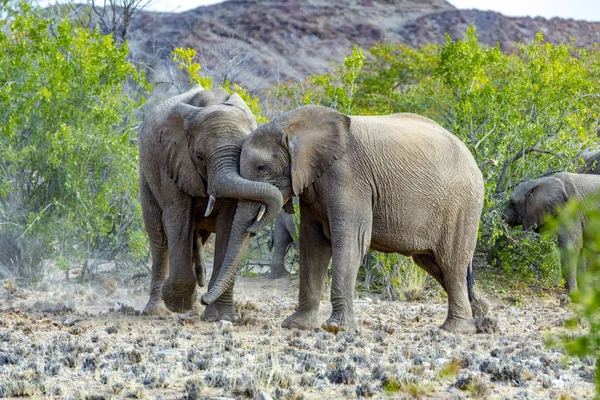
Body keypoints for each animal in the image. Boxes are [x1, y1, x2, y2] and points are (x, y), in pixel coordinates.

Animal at [139, 86, 282, 320]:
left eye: (242, 153)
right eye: (199, 157)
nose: (205, 299)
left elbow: (229, 225)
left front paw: (222, 317)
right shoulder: (171, 162)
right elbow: (177, 219)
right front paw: (177, 302)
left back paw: (196, 309)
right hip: (146, 172)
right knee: (158, 235)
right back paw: (158, 311)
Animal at [199, 104, 490, 332]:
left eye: (261, 168)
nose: (202, 300)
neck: (294, 125)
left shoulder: (348, 176)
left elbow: (350, 240)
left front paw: (335, 328)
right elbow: (313, 244)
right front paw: (296, 325)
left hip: (462, 206)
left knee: (451, 263)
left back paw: (456, 329)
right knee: (433, 263)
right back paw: (484, 319)